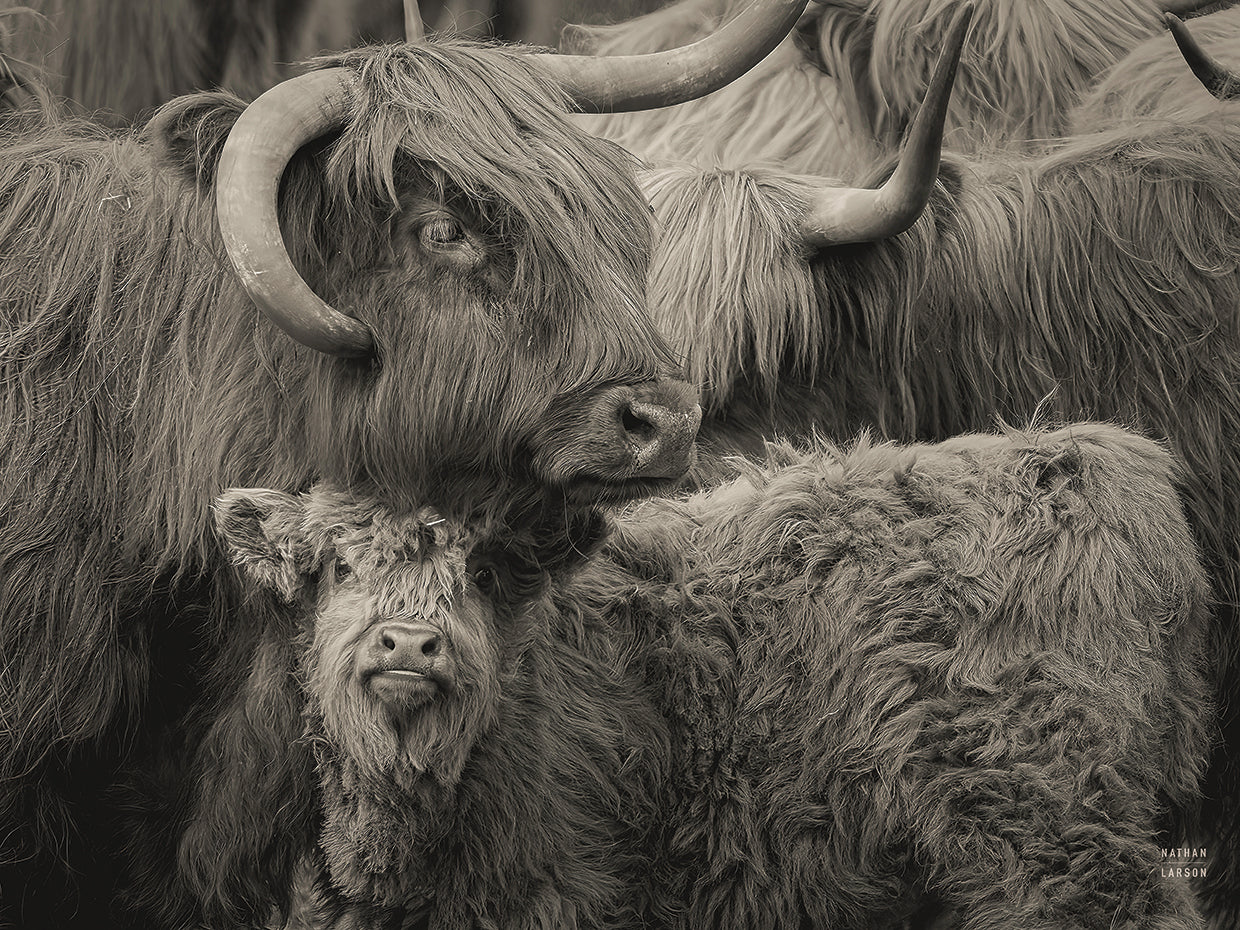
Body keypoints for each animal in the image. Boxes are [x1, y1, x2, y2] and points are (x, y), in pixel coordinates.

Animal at [213, 421, 1214, 929]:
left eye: (485, 574)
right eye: (340, 566)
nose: (409, 645)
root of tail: (1084, 457)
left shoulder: (569, 892)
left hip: (1052, 822)